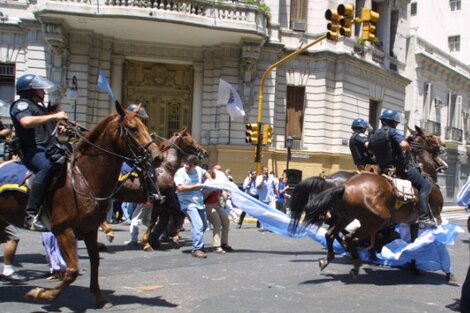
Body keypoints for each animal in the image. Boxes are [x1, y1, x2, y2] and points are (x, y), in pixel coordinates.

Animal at [0, 101, 162, 306]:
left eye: (145, 127)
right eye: (133, 128)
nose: (157, 157)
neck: (85, 178)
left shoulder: (89, 229)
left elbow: (95, 261)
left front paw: (100, 297)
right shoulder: (63, 230)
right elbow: (73, 271)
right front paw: (41, 294)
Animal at [290, 124, 448, 276]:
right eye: (430, 136)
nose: (443, 145)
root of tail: (343, 186)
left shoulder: (413, 222)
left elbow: (413, 243)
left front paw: (413, 265)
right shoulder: (436, 217)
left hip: (346, 217)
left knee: (332, 234)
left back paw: (336, 257)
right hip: (376, 220)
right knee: (348, 237)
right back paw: (354, 258)